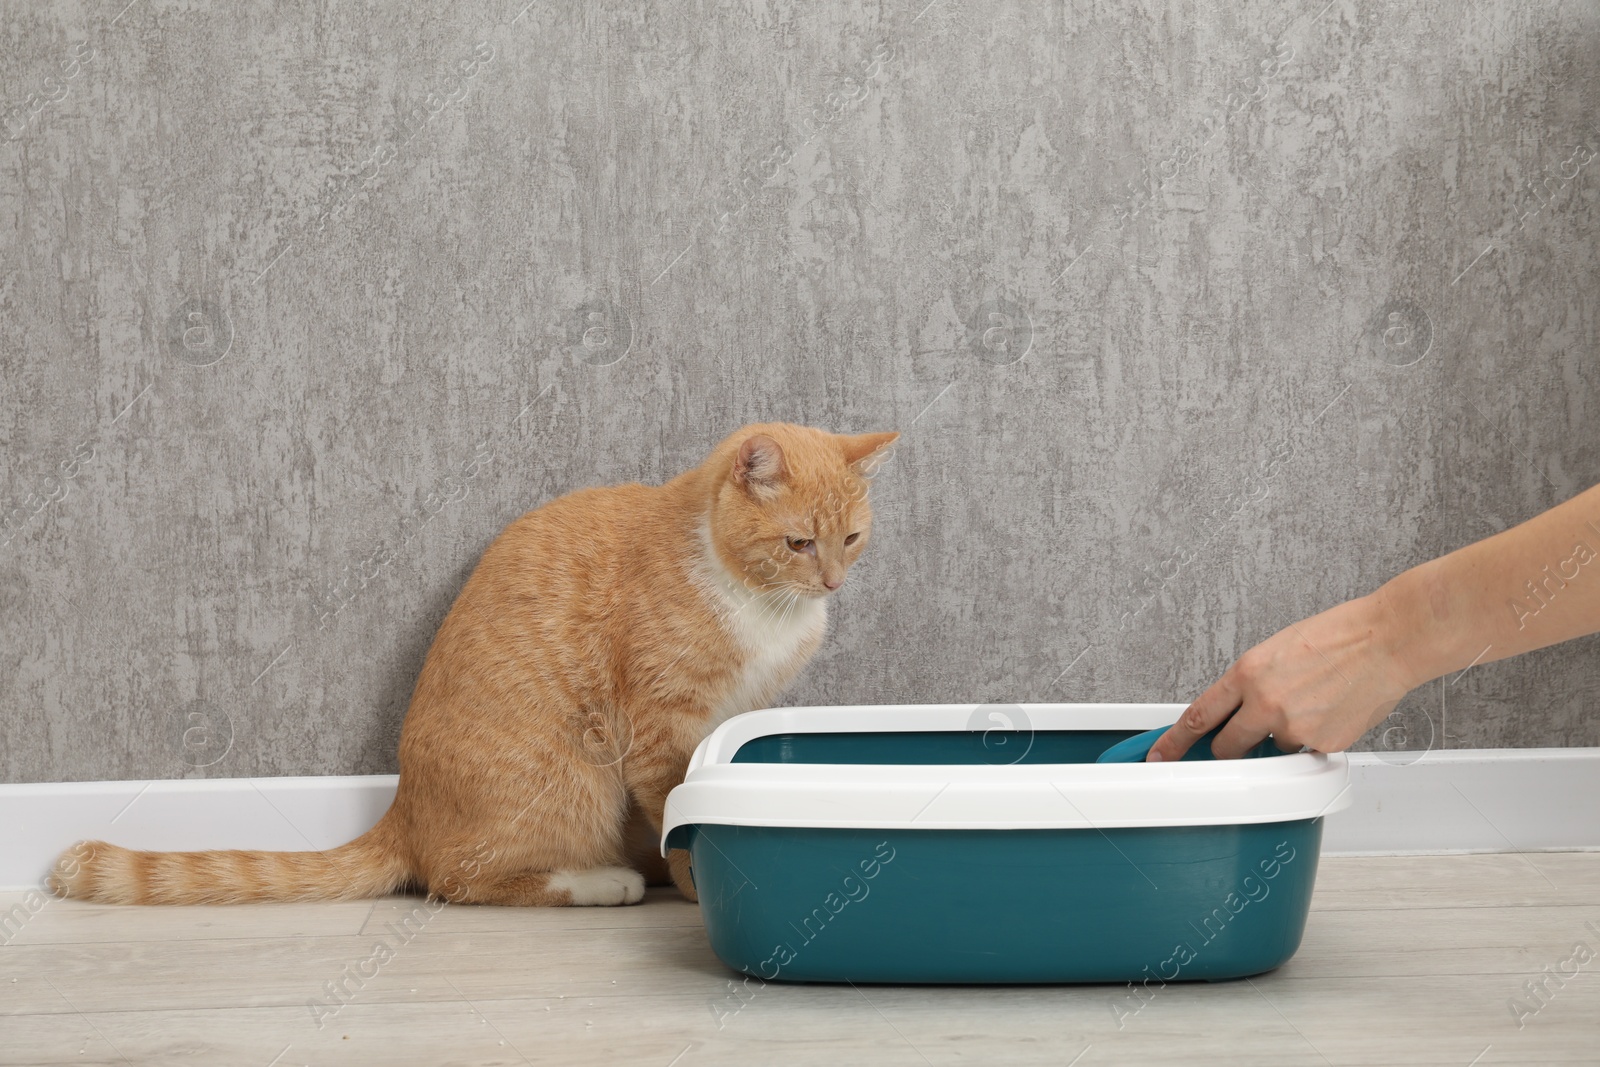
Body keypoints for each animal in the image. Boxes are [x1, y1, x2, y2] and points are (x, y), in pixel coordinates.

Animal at [46, 425, 902, 908]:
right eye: (798, 543)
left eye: (851, 539)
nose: (833, 582)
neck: (758, 600)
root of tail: (403, 809)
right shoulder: (661, 733)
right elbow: (679, 819)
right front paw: (698, 892)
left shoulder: (720, 722)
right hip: (573, 781)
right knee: (460, 881)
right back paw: (605, 882)